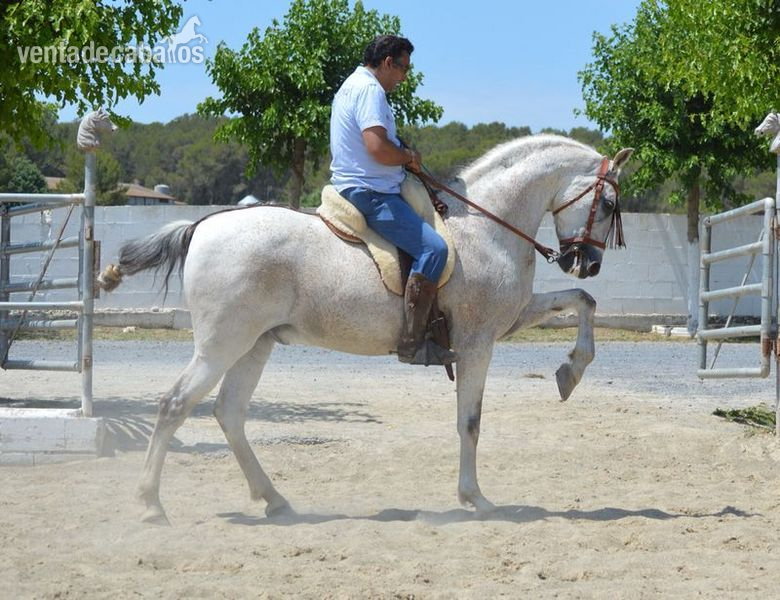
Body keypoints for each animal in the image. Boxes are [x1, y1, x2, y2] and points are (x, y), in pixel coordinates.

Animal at [100, 134, 633, 523]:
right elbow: (471, 422)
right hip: (221, 345)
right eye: (608, 204)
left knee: (228, 413)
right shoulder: (477, 343)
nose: (588, 263)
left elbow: (582, 302)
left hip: (254, 345)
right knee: (174, 405)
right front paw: (476, 499)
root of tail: (202, 226)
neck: (486, 226)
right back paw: (150, 505)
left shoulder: (513, 318)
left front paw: (570, 372)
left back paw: (275, 501)